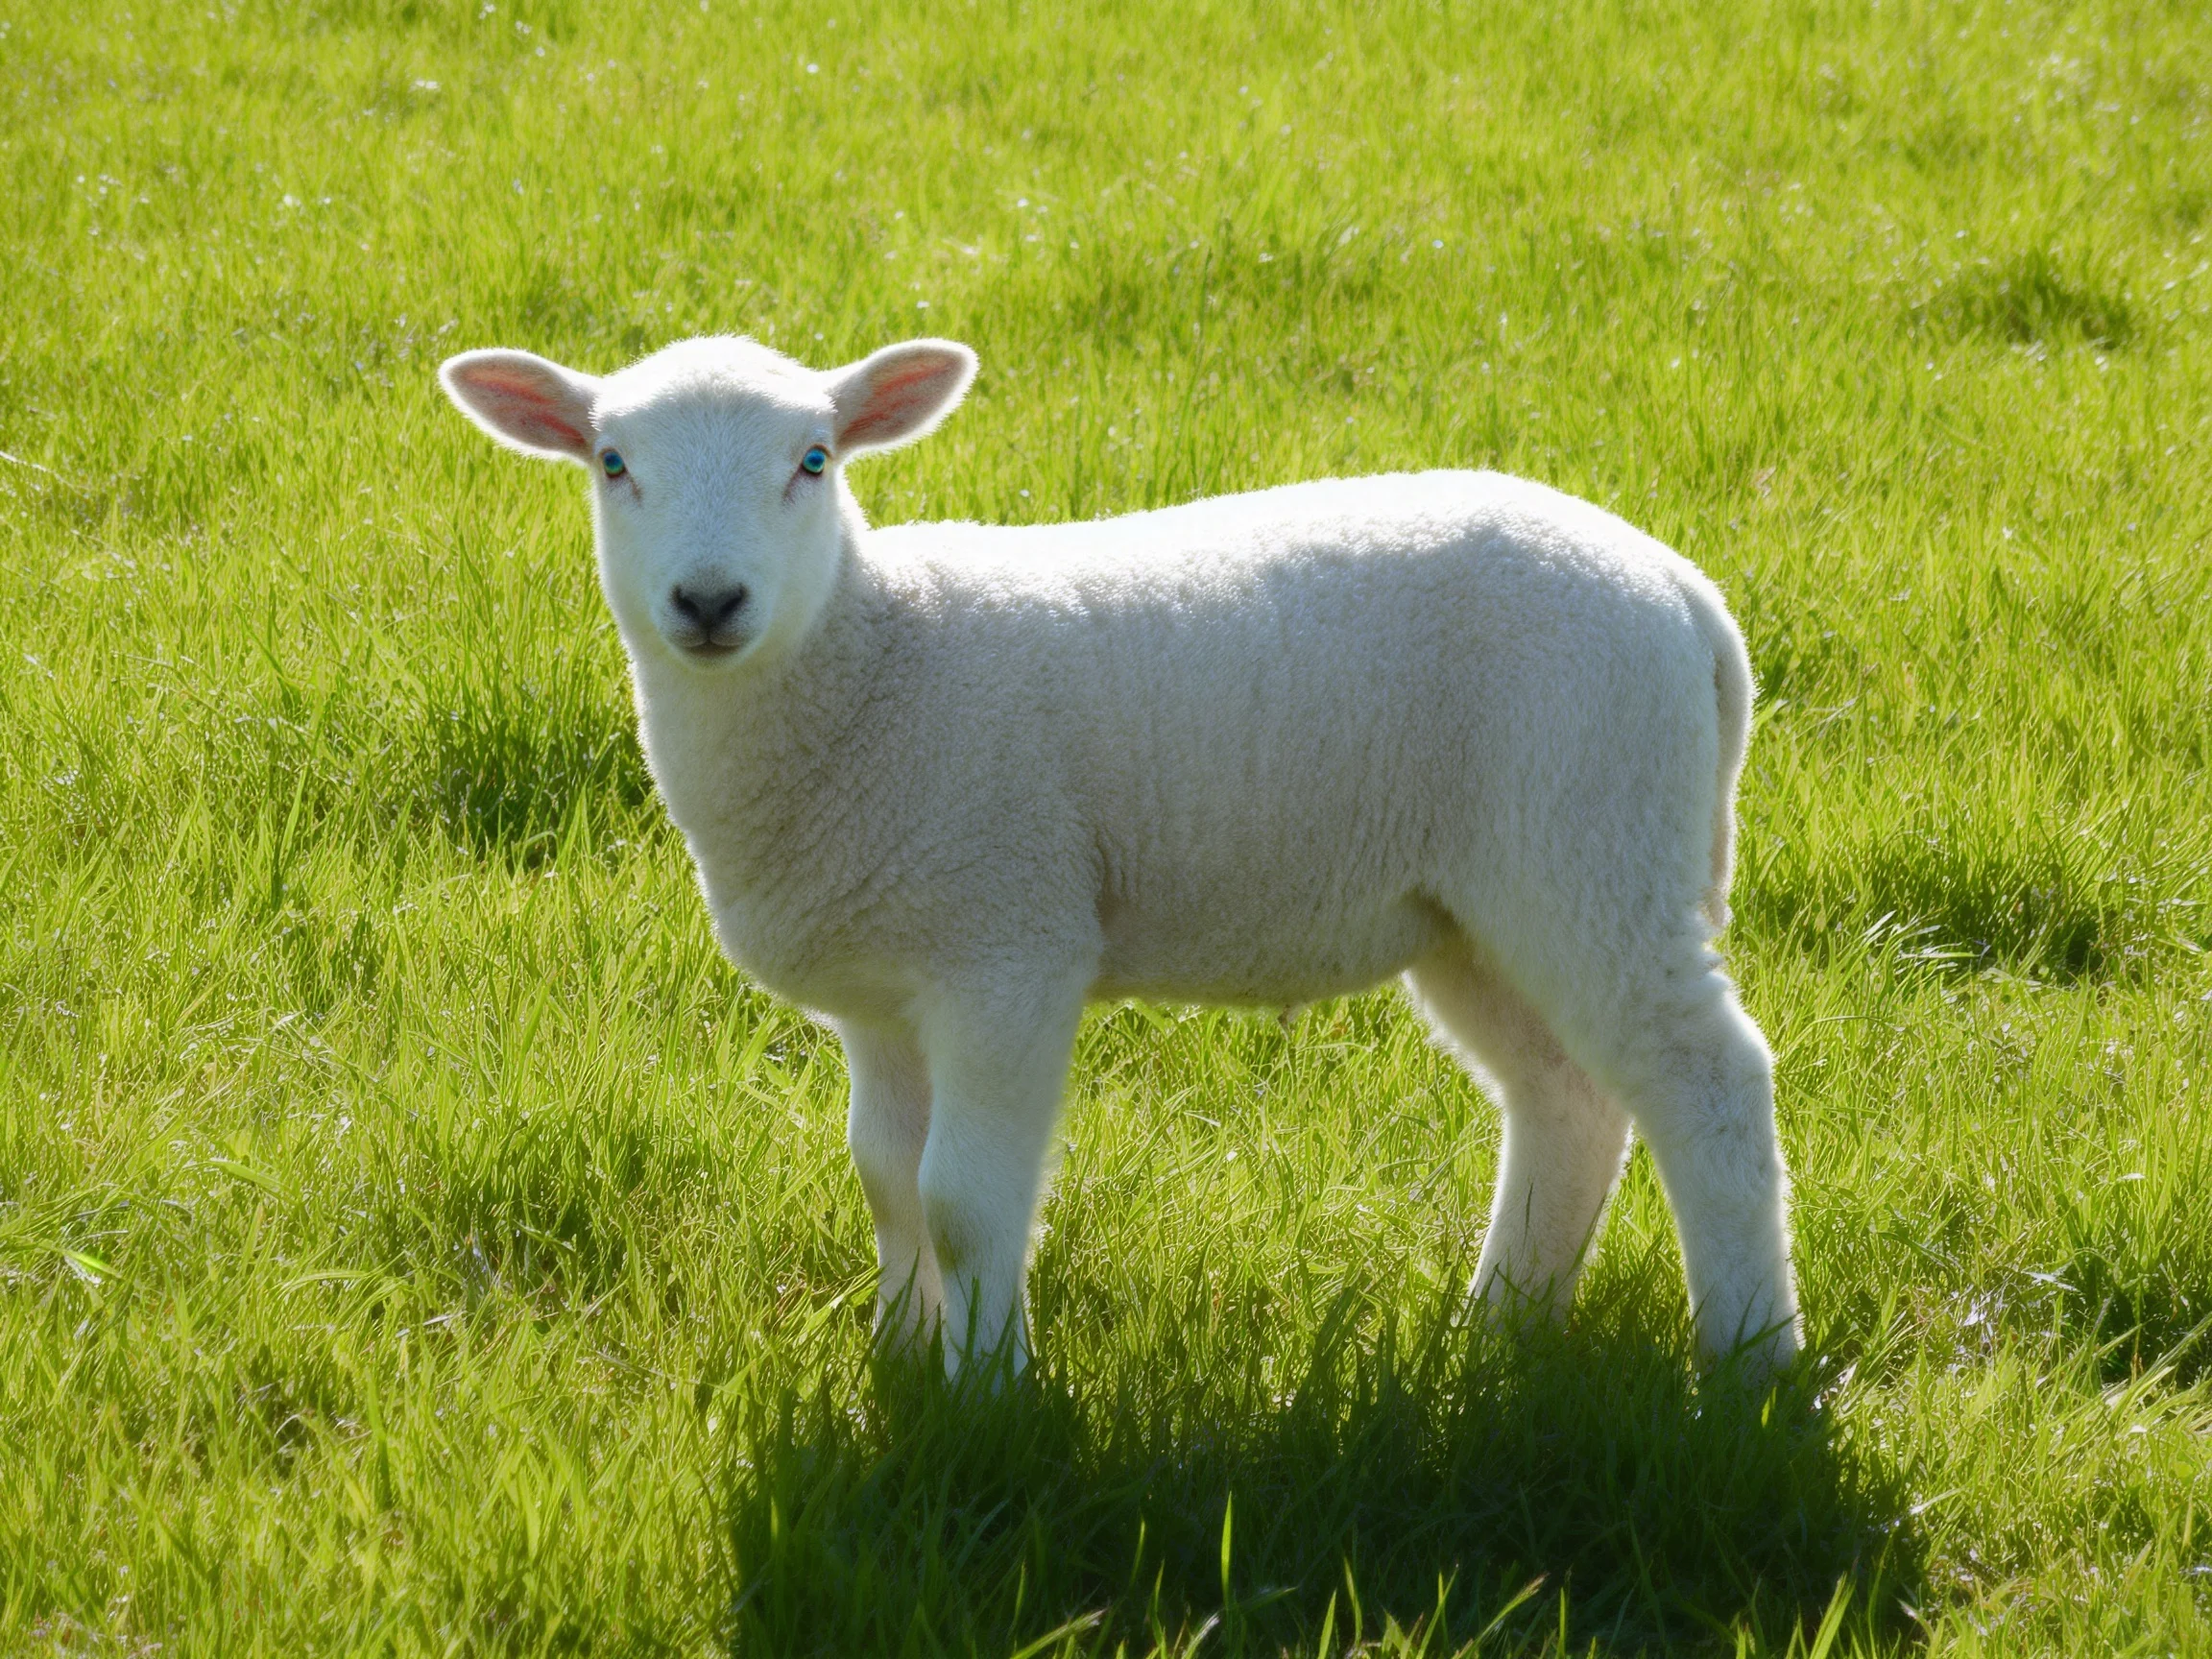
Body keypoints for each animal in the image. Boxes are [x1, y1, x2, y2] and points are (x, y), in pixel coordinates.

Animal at [437, 333, 1801, 1381]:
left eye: (813, 462)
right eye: (614, 464)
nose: (709, 603)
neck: (876, 658)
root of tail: (1683, 593)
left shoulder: (1009, 947)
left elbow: (961, 1200)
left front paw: (987, 1391)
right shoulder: (883, 986)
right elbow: (885, 1180)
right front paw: (898, 1358)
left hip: (1593, 836)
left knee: (1708, 1085)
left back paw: (1751, 1369)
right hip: (1482, 900)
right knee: (1565, 1099)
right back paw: (1498, 1332)